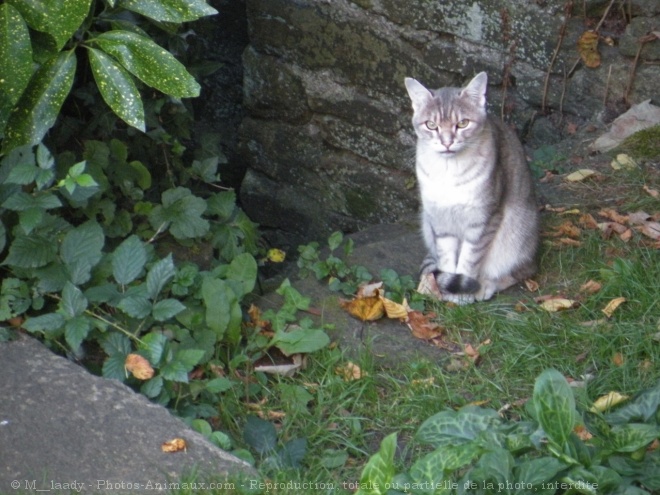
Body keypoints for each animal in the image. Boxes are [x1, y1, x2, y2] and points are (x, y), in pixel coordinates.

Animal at [404, 71, 540, 304]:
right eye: (431, 125)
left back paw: (486, 285)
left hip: (518, 235)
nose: (447, 142)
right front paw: (449, 291)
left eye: (463, 123)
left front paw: (463, 294)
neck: (448, 172)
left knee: (520, 271)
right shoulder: (440, 220)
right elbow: (447, 259)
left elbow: (469, 260)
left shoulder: (483, 219)